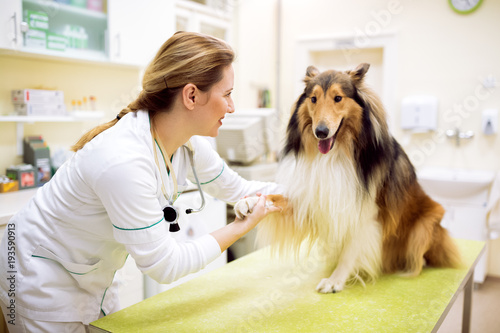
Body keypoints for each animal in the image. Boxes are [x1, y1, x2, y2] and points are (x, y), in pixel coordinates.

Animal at [236, 63, 462, 292]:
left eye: (338, 98)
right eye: (313, 98)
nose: (321, 132)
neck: (335, 153)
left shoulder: (365, 211)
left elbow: (351, 249)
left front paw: (335, 280)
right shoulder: (311, 198)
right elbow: (275, 197)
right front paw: (249, 203)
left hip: (425, 224)